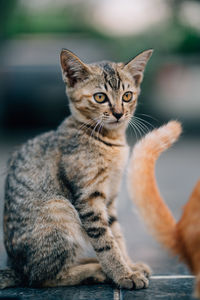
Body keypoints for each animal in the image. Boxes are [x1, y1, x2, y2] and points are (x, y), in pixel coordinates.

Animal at [0, 48, 153, 288]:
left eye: (127, 96)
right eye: (100, 97)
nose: (119, 113)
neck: (110, 141)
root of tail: (16, 268)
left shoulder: (110, 197)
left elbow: (117, 235)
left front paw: (129, 265)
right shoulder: (89, 197)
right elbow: (106, 242)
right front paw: (123, 274)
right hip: (59, 208)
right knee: (43, 278)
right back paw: (96, 270)